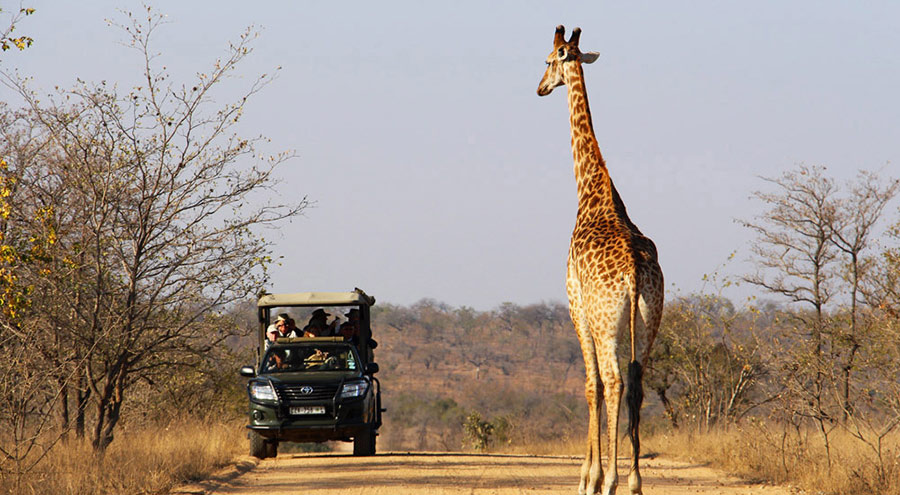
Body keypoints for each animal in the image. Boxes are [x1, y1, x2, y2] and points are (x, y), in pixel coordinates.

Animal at [536, 27, 664, 495]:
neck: (592, 191)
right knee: (637, 382)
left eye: (550, 60)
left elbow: (591, 386)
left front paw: (586, 477)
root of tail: (634, 273)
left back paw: (609, 479)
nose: (540, 87)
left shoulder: (576, 304)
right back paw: (635, 480)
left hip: (608, 322)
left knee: (612, 381)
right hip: (649, 320)